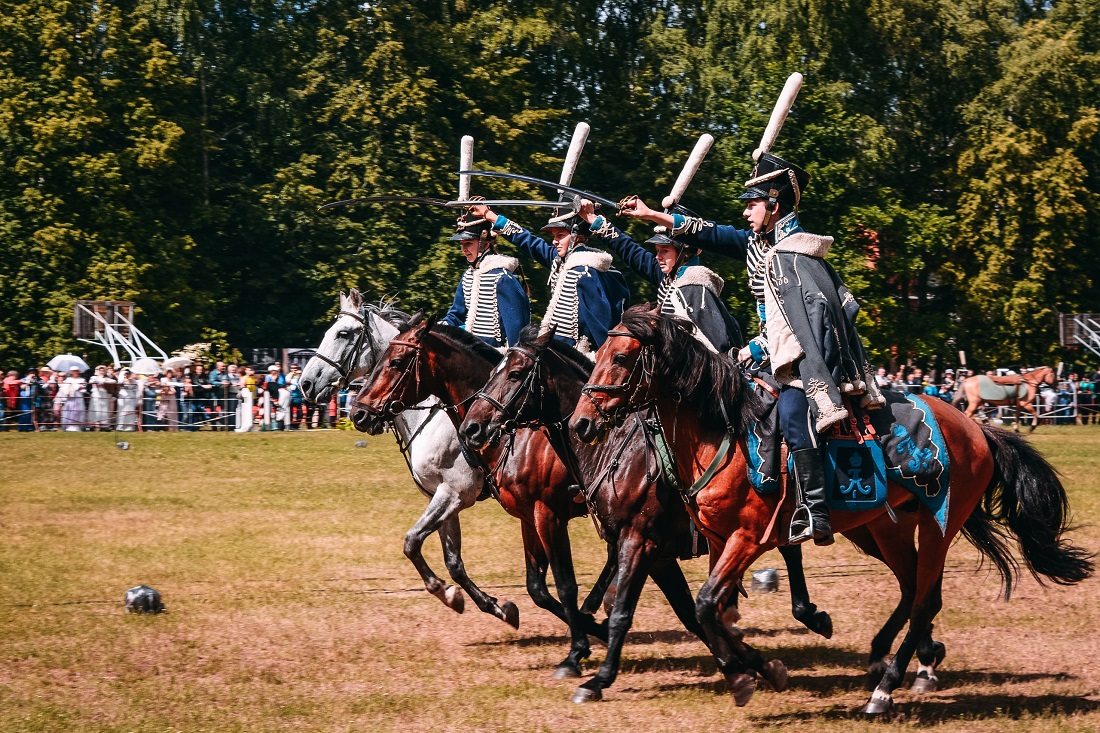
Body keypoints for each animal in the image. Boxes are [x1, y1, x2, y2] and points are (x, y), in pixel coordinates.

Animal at [299, 288, 521, 625]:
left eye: (343, 333)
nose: (306, 383)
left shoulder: (455, 493)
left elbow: (413, 542)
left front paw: (446, 592)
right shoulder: (440, 496)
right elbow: (452, 561)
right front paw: (483, 603)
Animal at [347, 316, 616, 677]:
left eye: (396, 362)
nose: (359, 414)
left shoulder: (467, 497)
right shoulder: (483, 507)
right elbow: (454, 561)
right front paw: (482, 603)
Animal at [567, 305, 1091, 708]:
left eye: (621, 357)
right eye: (597, 356)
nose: (580, 423)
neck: (722, 434)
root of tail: (974, 425)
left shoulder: (737, 539)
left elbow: (697, 606)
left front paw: (744, 673)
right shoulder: (712, 542)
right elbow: (709, 612)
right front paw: (754, 668)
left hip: (939, 525)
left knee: (925, 598)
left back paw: (887, 687)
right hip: (885, 529)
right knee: (913, 590)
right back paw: (889, 657)